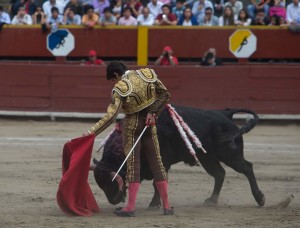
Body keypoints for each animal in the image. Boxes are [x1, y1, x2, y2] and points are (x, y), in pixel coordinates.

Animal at [93, 105, 264, 208]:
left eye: (110, 182)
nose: (113, 201)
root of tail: (225, 113)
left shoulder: (163, 161)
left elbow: (157, 182)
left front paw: (154, 204)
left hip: (229, 153)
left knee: (247, 168)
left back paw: (259, 198)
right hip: (207, 158)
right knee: (219, 173)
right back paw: (211, 200)